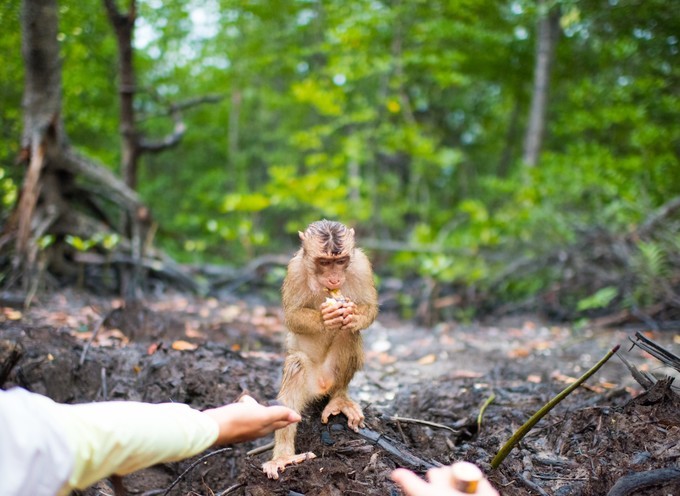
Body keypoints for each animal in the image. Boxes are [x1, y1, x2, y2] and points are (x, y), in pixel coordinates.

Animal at [262, 219, 380, 478]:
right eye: (324, 262)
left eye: (341, 261)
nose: (335, 280)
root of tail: (323, 385)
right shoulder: (295, 269)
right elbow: (292, 316)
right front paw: (326, 317)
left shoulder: (361, 265)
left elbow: (369, 308)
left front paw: (353, 315)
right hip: (310, 384)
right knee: (296, 367)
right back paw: (283, 455)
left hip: (332, 375)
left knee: (348, 332)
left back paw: (339, 399)